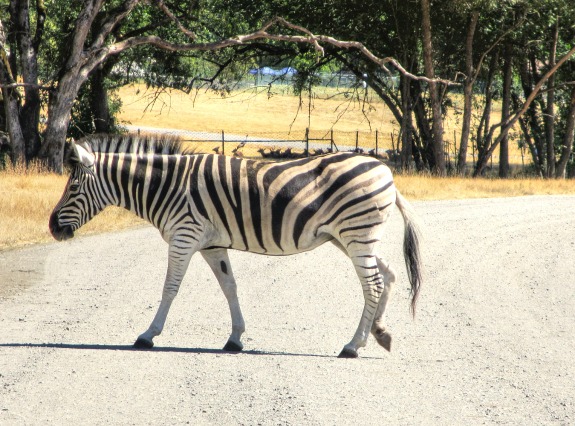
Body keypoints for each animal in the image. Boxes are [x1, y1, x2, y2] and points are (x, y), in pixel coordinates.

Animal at [49, 134, 424, 360]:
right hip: (351, 237)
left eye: (73, 188)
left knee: (373, 284)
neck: (165, 187)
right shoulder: (211, 244)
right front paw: (235, 339)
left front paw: (147, 335)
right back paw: (380, 333)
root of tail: (385, 171)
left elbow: (170, 288)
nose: (52, 228)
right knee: (388, 276)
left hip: (356, 234)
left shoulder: (184, 236)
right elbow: (229, 287)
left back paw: (352, 345)